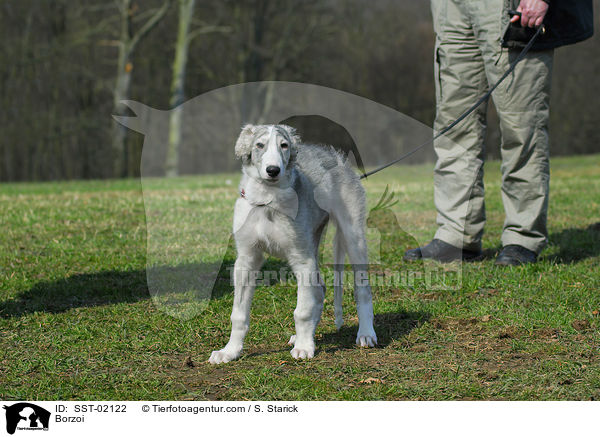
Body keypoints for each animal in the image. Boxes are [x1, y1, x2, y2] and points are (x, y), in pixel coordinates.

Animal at [210, 124, 376, 362]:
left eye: (284, 145)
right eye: (259, 145)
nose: (273, 170)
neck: (267, 201)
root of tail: (337, 158)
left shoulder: (302, 259)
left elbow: (302, 310)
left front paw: (305, 348)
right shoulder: (246, 259)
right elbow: (238, 314)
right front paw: (230, 351)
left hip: (353, 235)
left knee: (362, 289)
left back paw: (365, 334)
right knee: (319, 290)